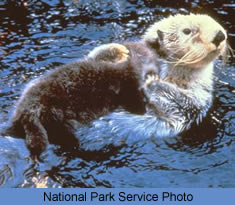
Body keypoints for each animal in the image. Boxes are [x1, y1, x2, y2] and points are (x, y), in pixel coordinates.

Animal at [3, 14, 228, 159]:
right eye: (188, 31)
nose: (220, 35)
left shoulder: (195, 102)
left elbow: (175, 102)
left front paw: (151, 81)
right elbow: (97, 55)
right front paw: (120, 51)